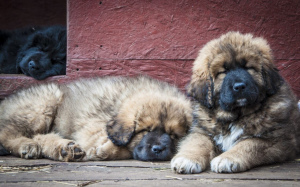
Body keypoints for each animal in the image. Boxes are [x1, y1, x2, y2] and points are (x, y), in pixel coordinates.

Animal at [0, 75, 192, 161]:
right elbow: (122, 144)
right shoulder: (92, 124)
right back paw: (28, 145)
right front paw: (106, 150)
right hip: (45, 102)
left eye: (174, 136)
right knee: (7, 132)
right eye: (145, 130)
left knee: (40, 136)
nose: (158, 149)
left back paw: (65, 148)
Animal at [171, 31, 300, 173]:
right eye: (223, 71)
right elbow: (197, 143)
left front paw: (227, 158)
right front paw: (187, 158)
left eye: (248, 68)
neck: (234, 116)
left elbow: (248, 144)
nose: (239, 86)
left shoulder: (277, 140)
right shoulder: (202, 131)